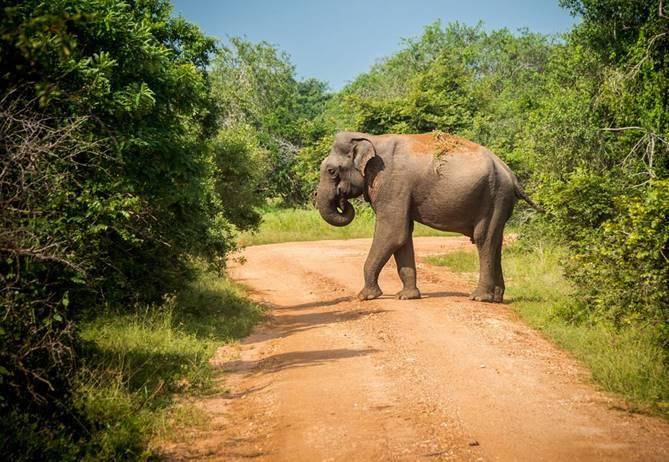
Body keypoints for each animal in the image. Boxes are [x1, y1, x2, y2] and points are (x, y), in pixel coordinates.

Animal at [314, 131, 544, 304]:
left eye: (331, 171)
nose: (342, 200)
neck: (370, 138)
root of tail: (510, 174)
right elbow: (403, 235)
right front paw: (406, 297)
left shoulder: (392, 183)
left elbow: (393, 232)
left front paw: (365, 296)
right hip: (500, 199)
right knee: (496, 240)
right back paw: (496, 298)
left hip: (494, 195)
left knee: (484, 239)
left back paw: (480, 298)